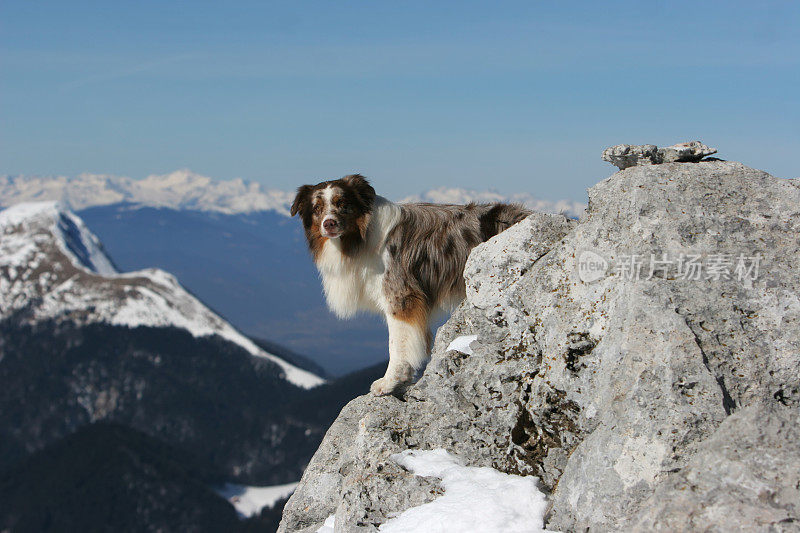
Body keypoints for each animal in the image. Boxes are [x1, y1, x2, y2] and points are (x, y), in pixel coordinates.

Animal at [292, 175, 532, 394]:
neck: (362, 237)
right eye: (317, 208)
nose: (329, 223)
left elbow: (397, 345)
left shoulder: (400, 296)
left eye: (342, 203)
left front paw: (389, 382)